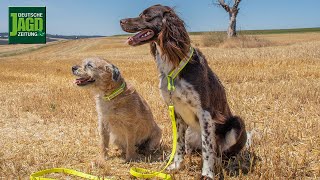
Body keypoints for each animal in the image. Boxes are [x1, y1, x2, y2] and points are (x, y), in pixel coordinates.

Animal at [120, 4, 248, 179]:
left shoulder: (205, 112)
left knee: (223, 152)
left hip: (236, 123)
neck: (174, 64)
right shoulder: (176, 112)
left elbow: (208, 148)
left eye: (146, 16)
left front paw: (207, 174)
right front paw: (176, 166)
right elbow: (178, 144)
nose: (121, 21)